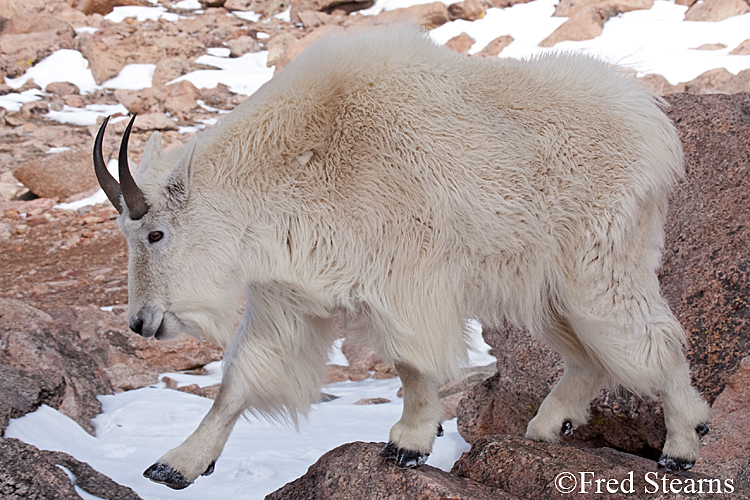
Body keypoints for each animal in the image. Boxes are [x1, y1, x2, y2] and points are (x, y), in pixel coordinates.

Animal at [92, 26, 712, 488]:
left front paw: (409, 443)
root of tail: (653, 122)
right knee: (590, 354)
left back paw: (682, 444)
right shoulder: (288, 294)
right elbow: (241, 378)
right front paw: (176, 464)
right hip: (542, 284)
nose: (142, 323)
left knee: (653, 339)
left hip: (599, 262)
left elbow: (412, 361)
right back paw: (546, 427)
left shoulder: (406, 275)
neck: (301, 156)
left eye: (155, 234)